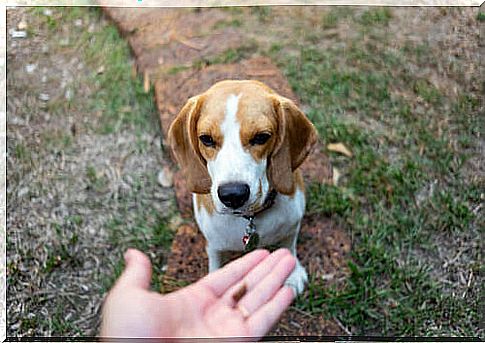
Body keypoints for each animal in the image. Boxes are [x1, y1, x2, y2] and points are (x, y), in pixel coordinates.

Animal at [167, 80, 318, 296]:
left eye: (261, 137)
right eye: (206, 139)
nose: (233, 194)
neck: (250, 218)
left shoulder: (292, 225)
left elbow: (288, 246)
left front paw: (293, 272)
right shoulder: (214, 245)